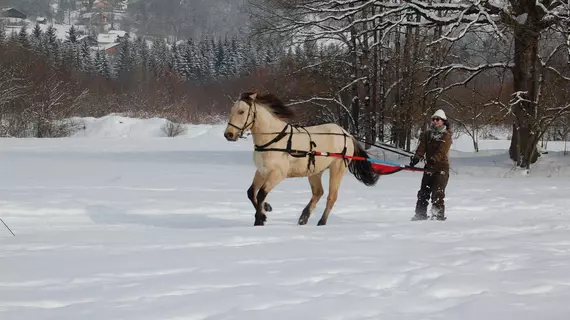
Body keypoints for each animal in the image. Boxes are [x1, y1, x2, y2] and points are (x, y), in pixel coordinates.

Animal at [224, 92, 380, 226]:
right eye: (232, 110)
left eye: (241, 111)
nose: (228, 135)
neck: (273, 140)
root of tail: (346, 133)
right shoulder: (262, 171)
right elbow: (251, 193)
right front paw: (265, 211)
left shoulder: (277, 174)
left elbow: (262, 193)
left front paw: (260, 218)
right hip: (315, 171)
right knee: (318, 192)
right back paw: (304, 217)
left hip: (337, 168)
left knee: (332, 196)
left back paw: (321, 222)